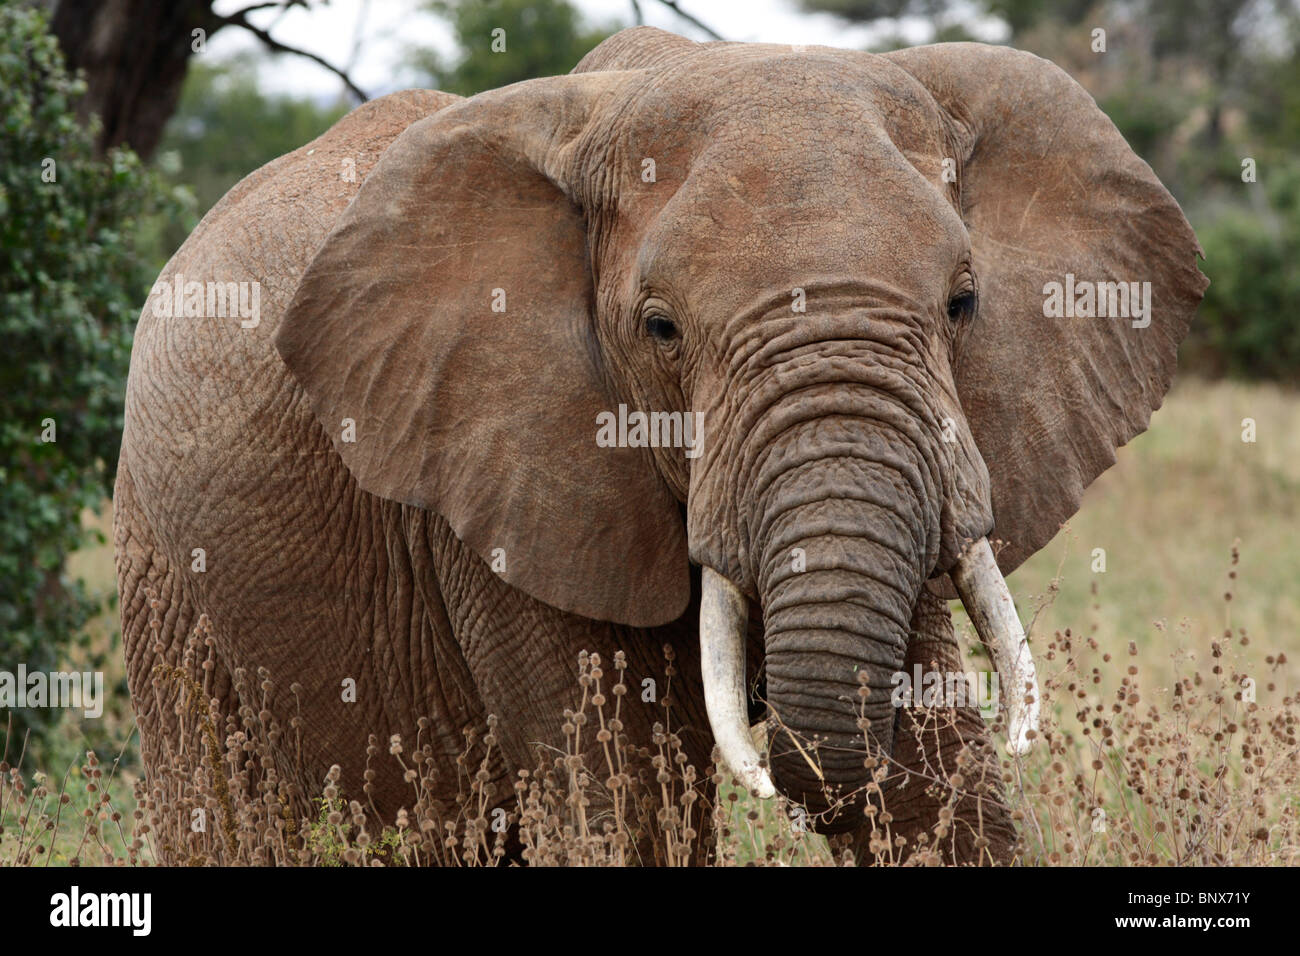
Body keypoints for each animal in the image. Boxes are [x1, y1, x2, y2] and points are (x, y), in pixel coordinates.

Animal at [114, 25, 1206, 865]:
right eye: (660, 328)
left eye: (963, 303)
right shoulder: (497, 484)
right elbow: (611, 800)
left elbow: (938, 793)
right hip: (163, 566)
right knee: (223, 807)